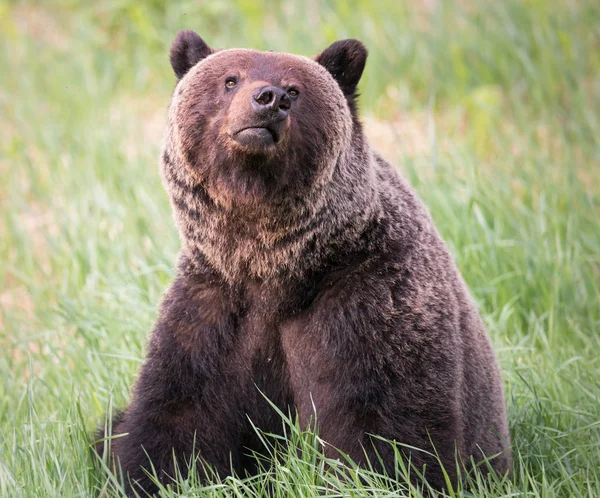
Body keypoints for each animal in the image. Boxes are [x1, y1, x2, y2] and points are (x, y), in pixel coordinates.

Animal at [97, 30, 510, 494]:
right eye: (230, 79)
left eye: (295, 90)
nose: (269, 98)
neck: (271, 265)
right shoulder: (212, 306)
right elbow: (177, 413)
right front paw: (149, 475)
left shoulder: (369, 297)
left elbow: (384, 425)